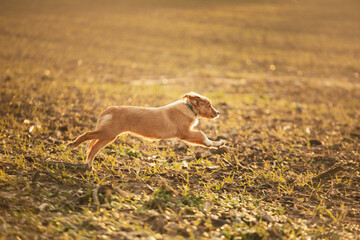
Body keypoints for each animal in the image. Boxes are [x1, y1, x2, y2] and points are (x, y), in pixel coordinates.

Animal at [68, 92, 225, 169]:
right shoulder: (184, 133)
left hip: (109, 136)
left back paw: (89, 165)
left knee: (94, 148)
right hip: (108, 132)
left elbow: (203, 140)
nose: (218, 113)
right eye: (209, 105)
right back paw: (73, 144)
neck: (189, 108)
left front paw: (217, 144)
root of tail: (109, 110)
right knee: (87, 135)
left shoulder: (186, 135)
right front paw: (211, 143)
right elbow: (202, 134)